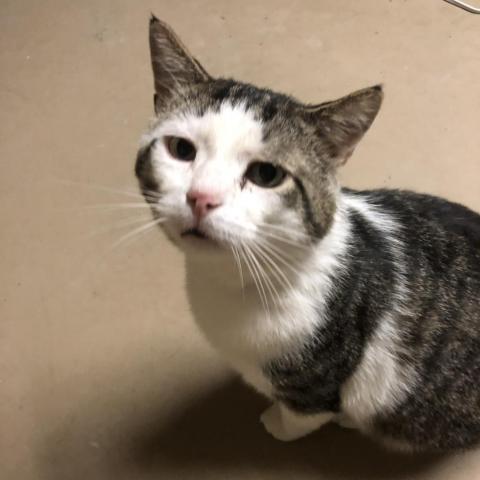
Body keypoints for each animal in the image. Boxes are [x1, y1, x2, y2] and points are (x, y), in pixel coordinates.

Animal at [134, 14, 480, 450]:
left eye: (267, 174)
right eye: (181, 149)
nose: (201, 198)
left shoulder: (317, 387)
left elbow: (300, 417)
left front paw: (275, 424)